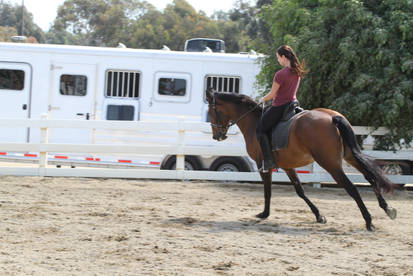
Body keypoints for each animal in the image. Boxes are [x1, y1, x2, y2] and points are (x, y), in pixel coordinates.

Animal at [206, 88, 396, 231]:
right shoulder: (288, 166)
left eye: (211, 112)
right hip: (349, 156)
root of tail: (332, 117)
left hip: (331, 164)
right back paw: (387, 209)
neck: (254, 122)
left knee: (352, 188)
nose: (217, 136)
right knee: (370, 177)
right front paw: (319, 215)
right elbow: (300, 191)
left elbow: (267, 190)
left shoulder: (262, 164)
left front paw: (264, 214)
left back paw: (369, 221)